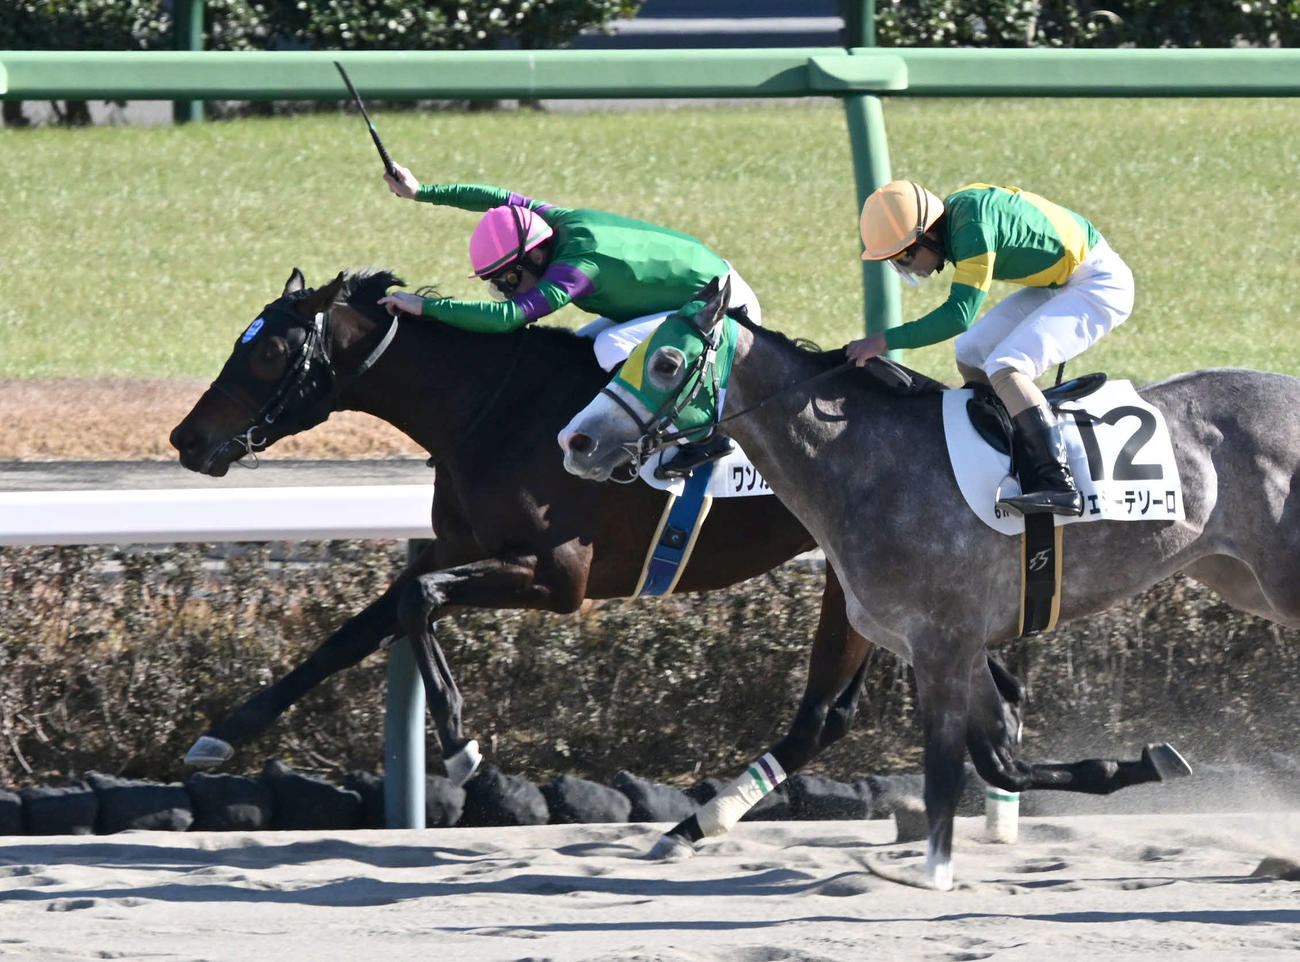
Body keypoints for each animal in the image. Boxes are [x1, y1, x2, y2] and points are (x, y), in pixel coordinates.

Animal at [169, 267, 1181, 841]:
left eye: (267, 356)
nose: (187, 439)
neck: (491, 407)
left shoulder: (561, 578)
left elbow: (416, 607)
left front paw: (460, 747)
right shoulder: (459, 549)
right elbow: (366, 621)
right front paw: (222, 733)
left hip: (861, 591)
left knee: (837, 716)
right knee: (978, 710)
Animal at [559, 274, 1298, 888]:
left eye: (665, 362)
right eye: (629, 358)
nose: (576, 441)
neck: (867, 463)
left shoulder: (943, 644)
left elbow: (946, 767)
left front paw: (934, 873)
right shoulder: (943, 647)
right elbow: (1000, 760)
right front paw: (1145, 763)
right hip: (1236, 577)